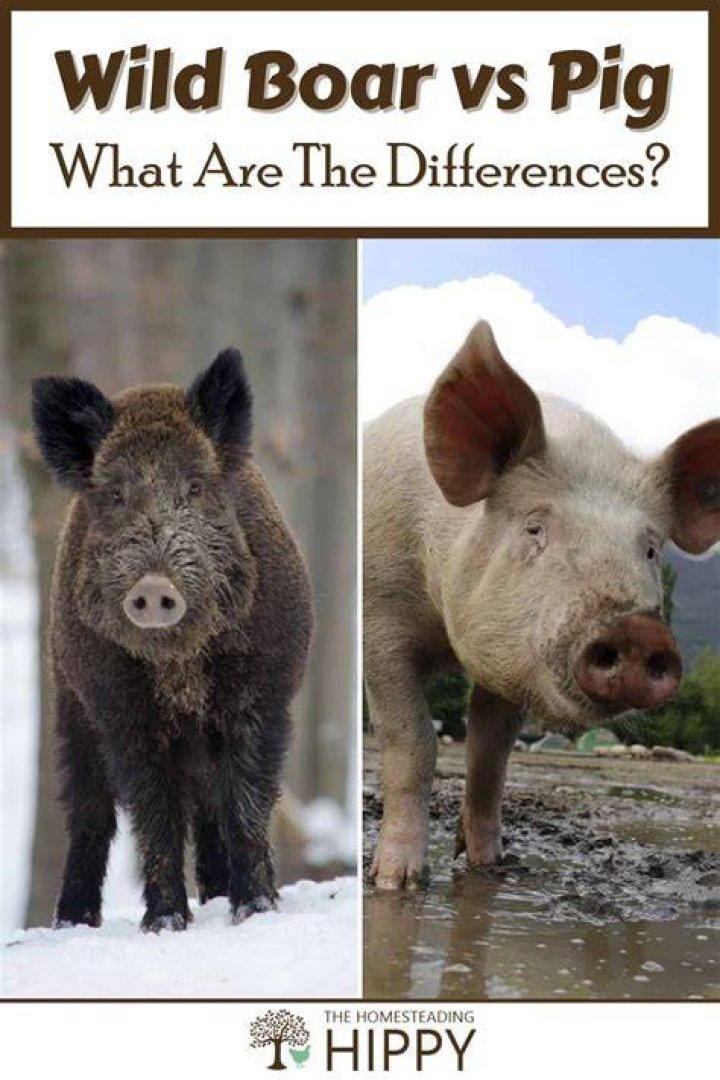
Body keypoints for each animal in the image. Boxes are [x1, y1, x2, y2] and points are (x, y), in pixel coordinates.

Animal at [32, 350, 313, 931]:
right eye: (116, 494)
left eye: (195, 488)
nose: (154, 587)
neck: (179, 667)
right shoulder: (120, 711)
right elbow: (153, 814)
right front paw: (165, 924)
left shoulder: (261, 696)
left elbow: (246, 803)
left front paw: (255, 912)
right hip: (69, 703)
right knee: (90, 811)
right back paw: (73, 922)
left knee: (210, 807)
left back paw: (219, 897)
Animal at [364, 320, 719, 889]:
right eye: (534, 528)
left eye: (649, 549)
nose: (638, 631)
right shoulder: (379, 621)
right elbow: (412, 742)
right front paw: (397, 882)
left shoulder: (509, 657)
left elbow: (490, 756)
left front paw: (491, 867)